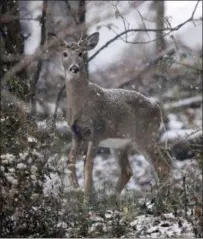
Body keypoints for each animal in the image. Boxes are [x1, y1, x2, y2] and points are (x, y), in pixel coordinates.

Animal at [58, 30, 171, 201]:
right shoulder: (75, 132)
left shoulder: (97, 130)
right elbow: (70, 161)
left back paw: (163, 197)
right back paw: (112, 197)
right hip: (120, 145)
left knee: (162, 163)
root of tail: (157, 108)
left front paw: (86, 199)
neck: (80, 105)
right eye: (64, 54)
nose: (74, 68)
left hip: (144, 135)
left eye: (81, 53)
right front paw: (77, 192)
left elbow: (88, 164)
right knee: (128, 170)